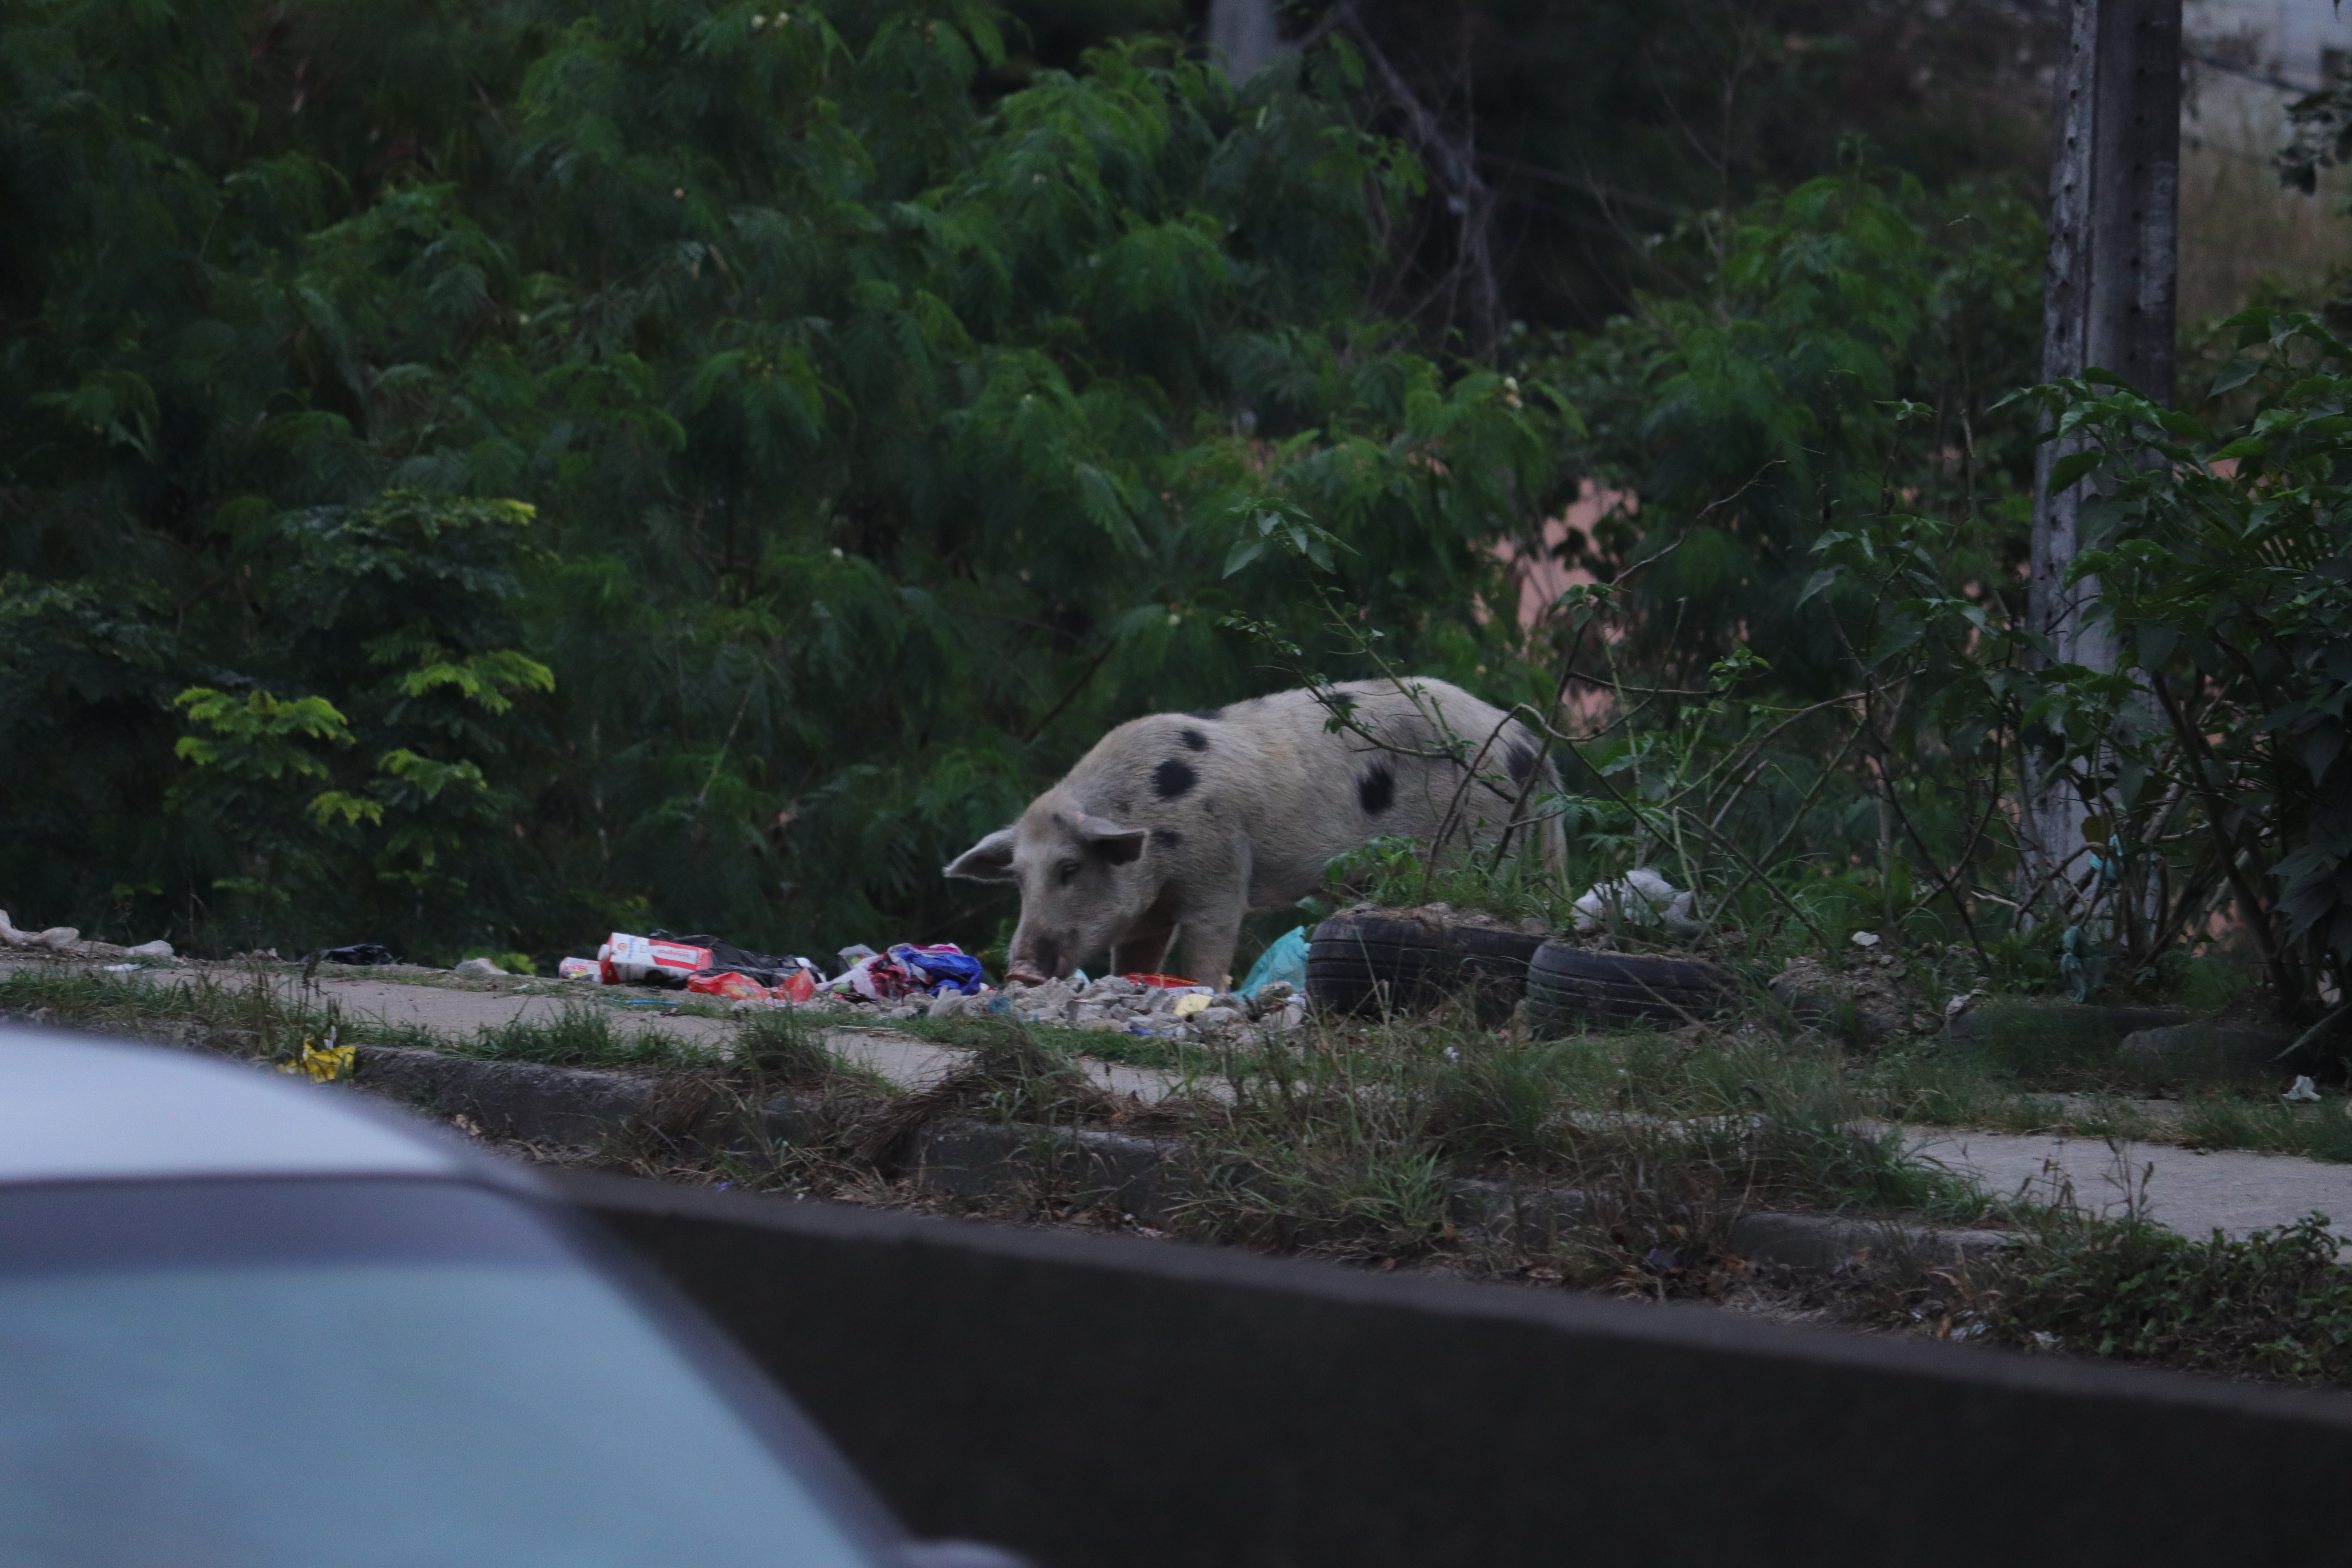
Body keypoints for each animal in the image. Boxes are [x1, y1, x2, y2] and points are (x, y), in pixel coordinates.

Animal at [944, 677, 1564, 987]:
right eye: (1019, 879)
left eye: (1070, 868)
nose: (1021, 971)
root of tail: (1526, 745)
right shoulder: (1149, 911)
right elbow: (1137, 957)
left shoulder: (1218, 872)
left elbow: (1208, 949)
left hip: (1476, 845)